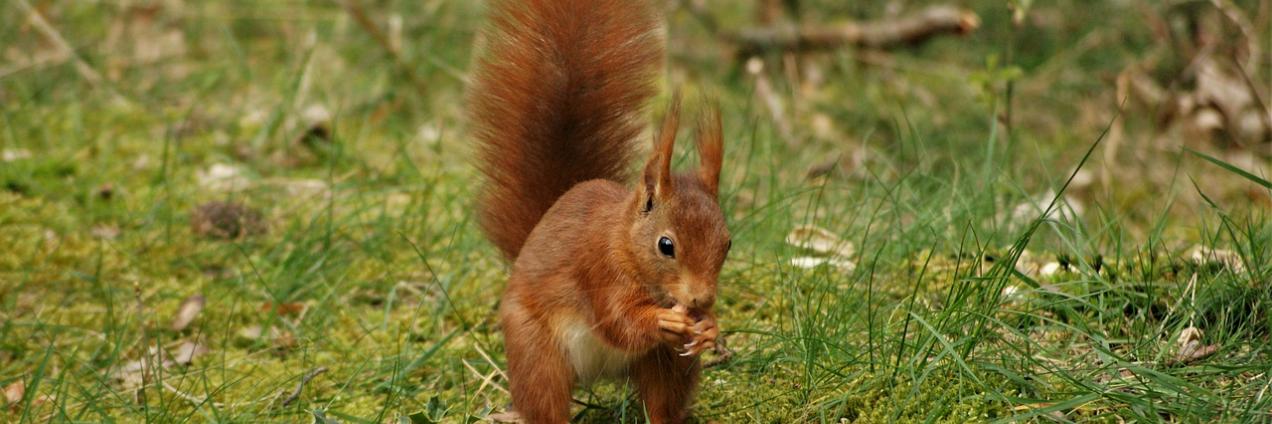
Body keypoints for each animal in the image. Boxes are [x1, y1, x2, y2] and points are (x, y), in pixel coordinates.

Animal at [468, 0, 731, 422]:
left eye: (727, 244)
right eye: (666, 245)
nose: (700, 300)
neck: (623, 240)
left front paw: (709, 326)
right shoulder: (598, 269)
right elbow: (618, 321)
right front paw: (665, 319)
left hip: (663, 364)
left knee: (663, 398)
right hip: (536, 351)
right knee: (544, 399)